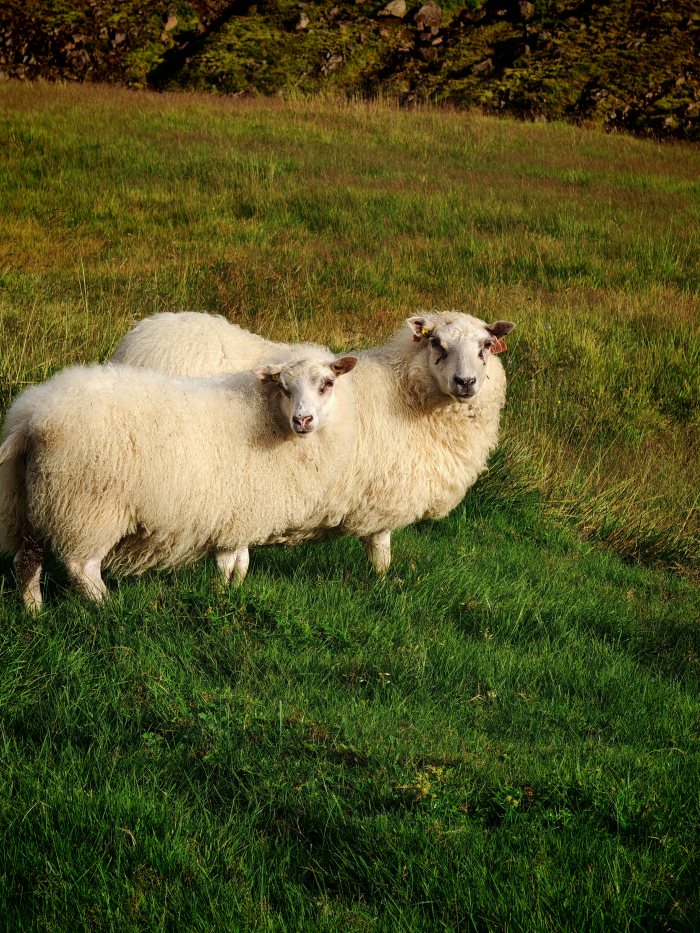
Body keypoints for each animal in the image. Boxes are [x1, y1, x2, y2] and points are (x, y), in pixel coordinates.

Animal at [0, 351, 357, 611]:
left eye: (327, 383)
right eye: (284, 387)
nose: (303, 420)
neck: (268, 418)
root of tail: (31, 419)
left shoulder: (236, 512)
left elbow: (239, 563)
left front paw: (228, 592)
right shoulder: (238, 511)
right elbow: (231, 563)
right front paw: (223, 593)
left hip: (31, 500)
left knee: (26, 561)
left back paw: (34, 612)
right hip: (88, 503)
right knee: (81, 566)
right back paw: (107, 606)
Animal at [112, 309, 515, 572]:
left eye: (485, 345)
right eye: (436, 343)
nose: (466, 383)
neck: (406, 392)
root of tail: (138, 339)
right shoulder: (385, 494)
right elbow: (381, 548)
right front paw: (381, 583)